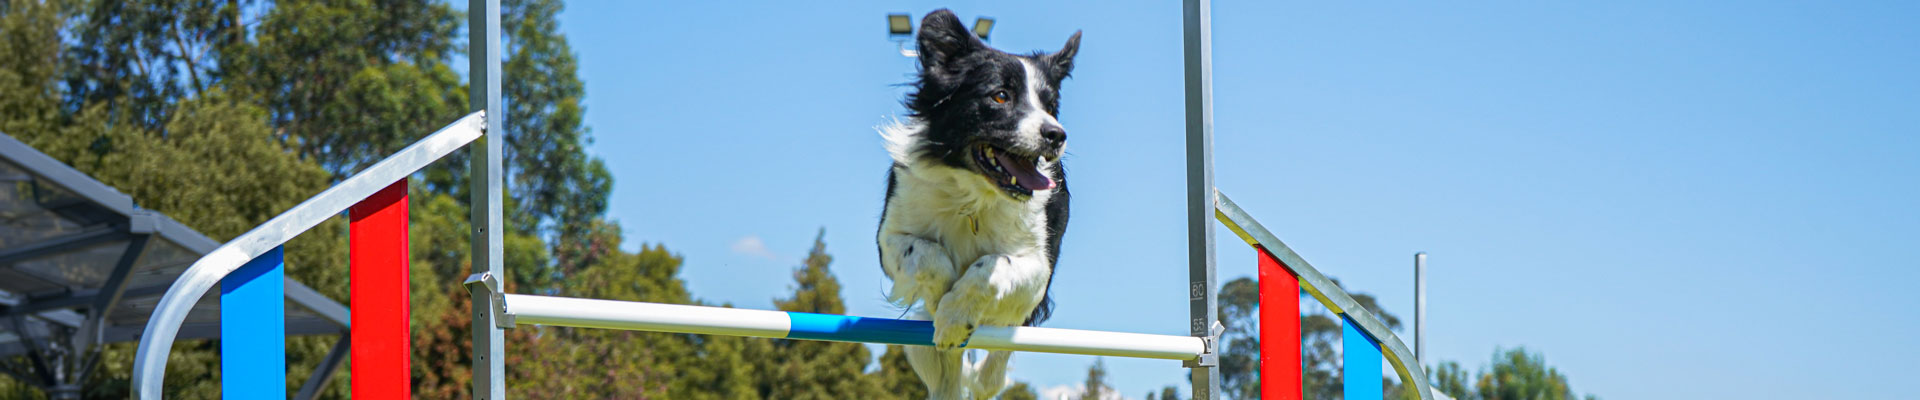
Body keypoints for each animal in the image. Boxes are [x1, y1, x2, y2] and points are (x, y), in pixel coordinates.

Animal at [875, 9, 1075, 400]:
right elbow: (927, 255)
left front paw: (954, 316)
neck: (975, 193)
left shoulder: (1038, 266)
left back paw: (982, 377)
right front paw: (941, 299)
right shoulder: (890, 237)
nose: (1056, 135)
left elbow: (991, 267)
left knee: (996, 365)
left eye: (1050, 106)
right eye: (1000, 96)